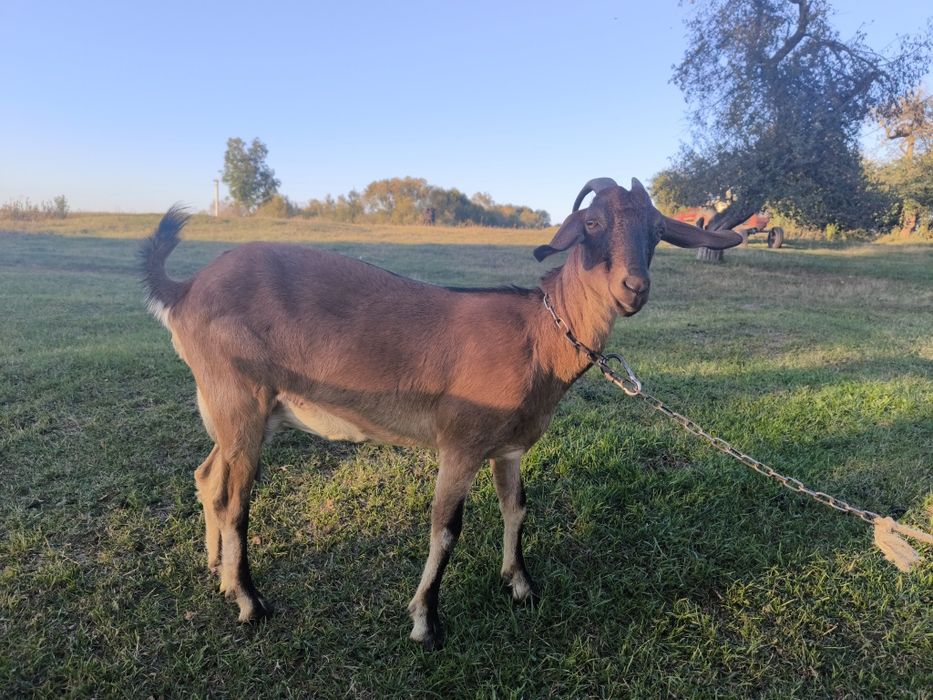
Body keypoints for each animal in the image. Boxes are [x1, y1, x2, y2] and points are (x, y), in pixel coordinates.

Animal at [141, 177, 741, 649]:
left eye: (656, 231)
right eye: (591, 222)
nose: (633, 288)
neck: (538, 335)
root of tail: (184, 290)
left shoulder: (508, 446)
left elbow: (517, 507)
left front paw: (520, 585)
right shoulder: (461, 443)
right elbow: (446, 528)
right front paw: (425, 622)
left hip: (235, 410)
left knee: (208, 477)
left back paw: (219, 575)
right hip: (238, 398)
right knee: (235, 500)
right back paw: (250, 603)